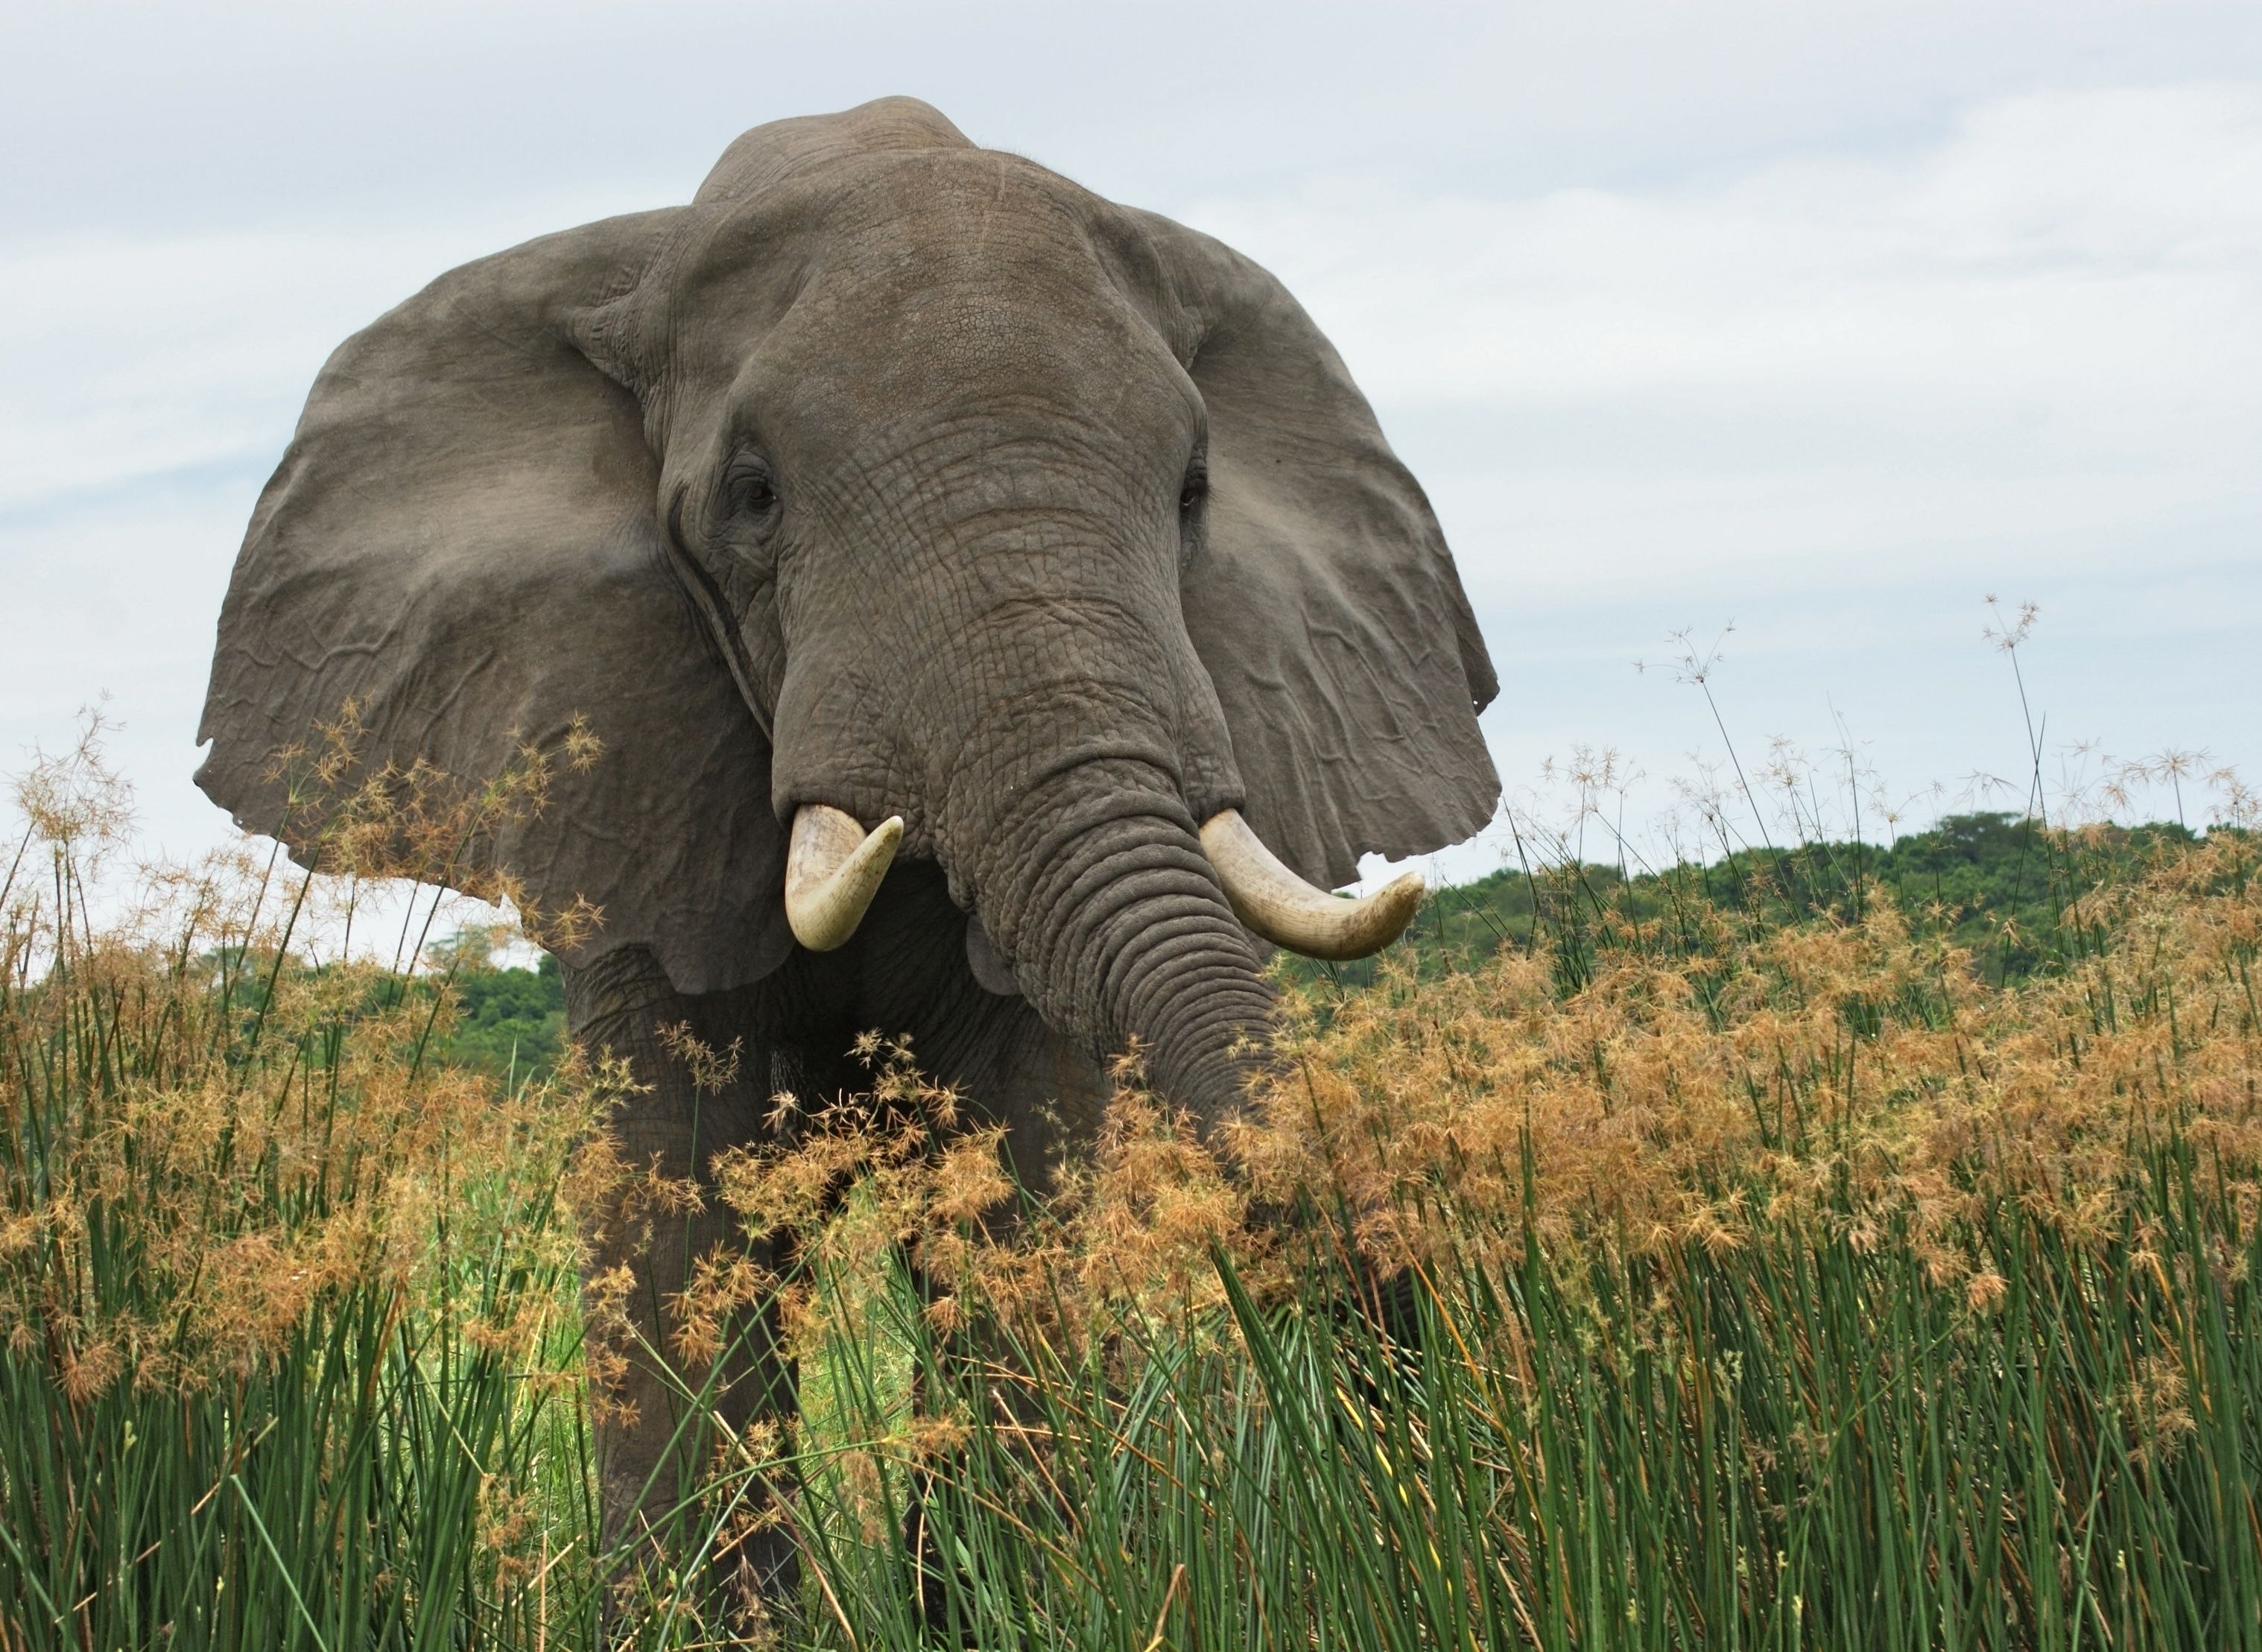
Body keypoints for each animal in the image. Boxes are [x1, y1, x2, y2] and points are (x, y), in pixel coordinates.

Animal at [194, 96, 1501, 1602]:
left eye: (1191, 493)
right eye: (753, 497)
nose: (1409, 1353)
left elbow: (1017, 1181)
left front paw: (1016, 1600)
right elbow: (685, 1206)